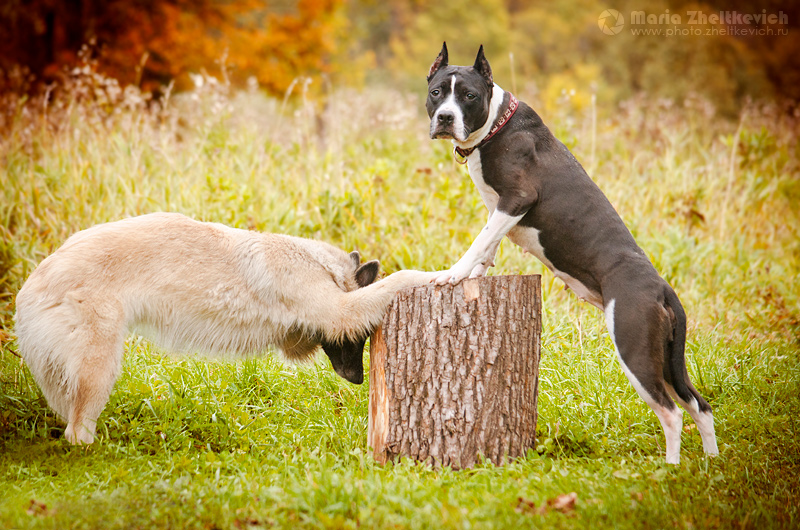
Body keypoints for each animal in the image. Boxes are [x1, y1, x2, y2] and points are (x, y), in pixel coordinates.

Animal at [12, 210, 438, 442]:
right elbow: (399, 279)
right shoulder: (339, 310)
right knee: (77, 431)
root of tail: (31, 286)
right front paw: (436, 273)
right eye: (360, 338)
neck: (318, 264)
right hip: (99, 368)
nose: (357, 379)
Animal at [424, 43, 720, 460]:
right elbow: (489, 243)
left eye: (469, 96)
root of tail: (662, 288)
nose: (446, 117)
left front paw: (453, 273)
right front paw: (476, 274)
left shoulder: (516, 199)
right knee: (699, 405)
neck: (496, 126)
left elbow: (480, 240)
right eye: (437, 92)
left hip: (635, 350)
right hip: (667, 360)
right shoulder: (500, 209)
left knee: (672, 412)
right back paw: (709, 463)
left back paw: (671, 467)